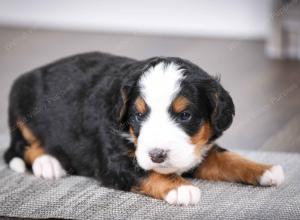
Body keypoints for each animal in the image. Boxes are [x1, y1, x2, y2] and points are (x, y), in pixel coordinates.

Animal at [5, 51, 286, 205]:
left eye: (185, 115)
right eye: (138, 116)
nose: (157, 155)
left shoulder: (198, 150)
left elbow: (228, 158)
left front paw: (264, 169)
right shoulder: (114, 162)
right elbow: (148, 172)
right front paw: (180, 188)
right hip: (24, 114)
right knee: (24, 146)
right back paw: (48, 164)